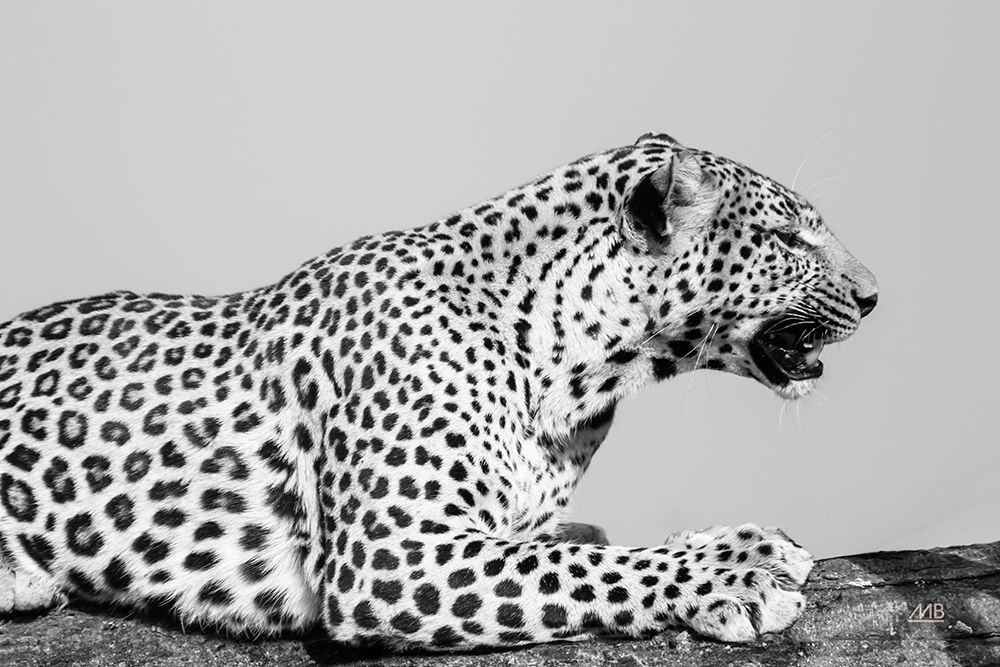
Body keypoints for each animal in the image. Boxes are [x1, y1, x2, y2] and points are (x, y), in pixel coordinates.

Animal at [0, 132, 877, 650]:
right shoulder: (392, 552)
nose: (874, 296)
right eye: (789, 238)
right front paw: (739, 570)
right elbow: (582, 568)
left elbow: (579, 544)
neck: (581, 368)